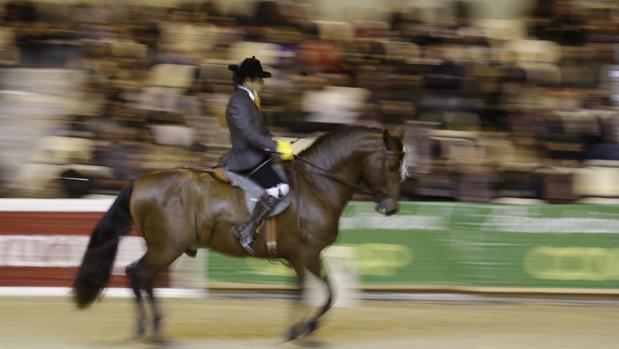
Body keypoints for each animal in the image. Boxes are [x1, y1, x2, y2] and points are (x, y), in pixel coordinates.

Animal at [72, 125, 406, 340]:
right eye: (391, 166)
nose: (391, 208)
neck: (316, 185)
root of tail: (140, 181)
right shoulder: (309, 254)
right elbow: (327, 293)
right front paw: (307, 329)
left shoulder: (298, 257)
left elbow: (303, 293)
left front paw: (295, 330)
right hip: (167, 247)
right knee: (138, 274)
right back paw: (150, 330)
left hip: (163, 247)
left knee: (143, 277)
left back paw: (152, 327)